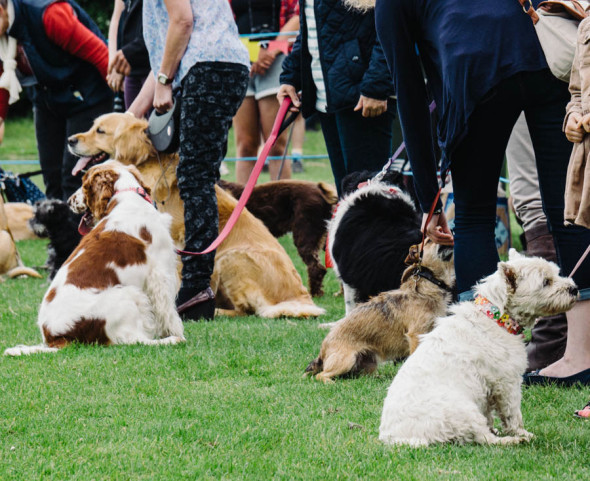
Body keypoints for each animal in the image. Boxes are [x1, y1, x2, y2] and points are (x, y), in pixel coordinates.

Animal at [69, 112, 328, 318]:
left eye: (100, 131)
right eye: (93, 126)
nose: (70, 140)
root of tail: (301, 298)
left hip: (230, 258)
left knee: (246, 310)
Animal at [308, 240, 456, 382]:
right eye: (430, 240)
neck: (427, 288)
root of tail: (322, 351)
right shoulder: (415, 335)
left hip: (369, 364)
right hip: (346, 360)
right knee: (321, 375)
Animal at [380, 249, 580, 444]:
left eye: (556, 273)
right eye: (546, 282)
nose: (574, 289)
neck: (496, 317)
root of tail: (395, 437)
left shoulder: (487, 390)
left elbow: (490, 415)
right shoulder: (507, 383)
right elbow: (512, 414)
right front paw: (522, 433)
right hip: (463, 410)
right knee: (484, 438)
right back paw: (513, 440)